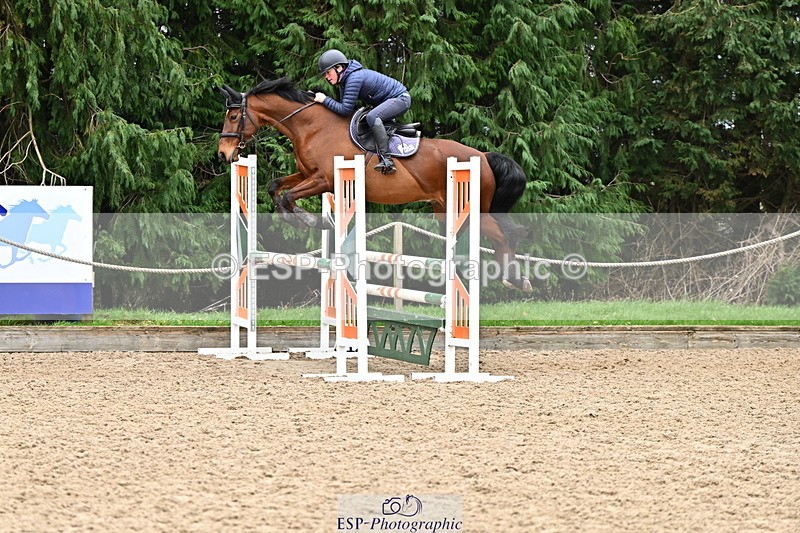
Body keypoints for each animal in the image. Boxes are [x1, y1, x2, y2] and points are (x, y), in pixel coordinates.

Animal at [217, 77, 532, 291]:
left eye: (233, 116)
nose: (224, 154)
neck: (313, 127)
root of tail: (484, 156)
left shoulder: (324, 179)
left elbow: (288, 196)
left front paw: (309, 221)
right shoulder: (309, 175)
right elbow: (275, 187)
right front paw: (305, 220)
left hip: (472, 208)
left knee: (507, 234)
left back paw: (513, 279)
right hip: (445, 210)